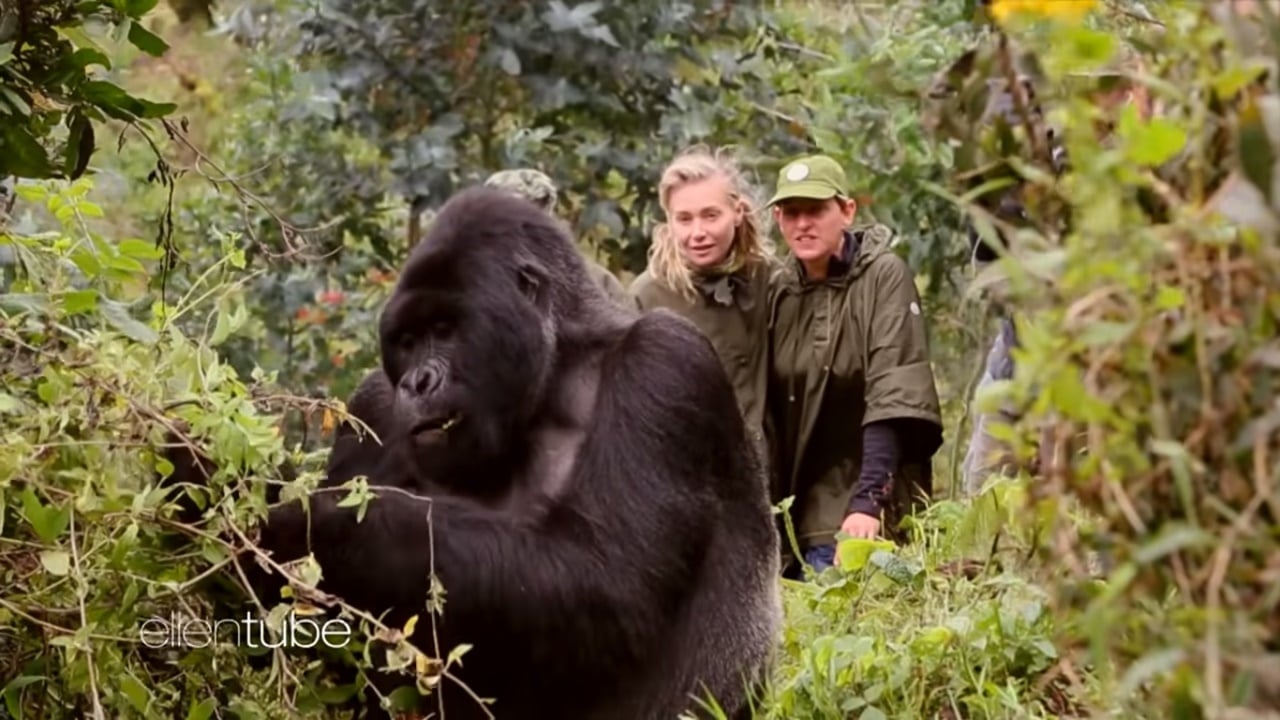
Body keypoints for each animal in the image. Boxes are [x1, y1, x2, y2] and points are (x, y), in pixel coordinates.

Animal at [170, 185, 778, 717]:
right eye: (408, 341)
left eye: (446, 328)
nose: (417, 382)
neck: (556, 373)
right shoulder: (374, 404)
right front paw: (196, 473)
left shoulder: (666, 363)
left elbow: (607, 582)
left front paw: (307, 524)